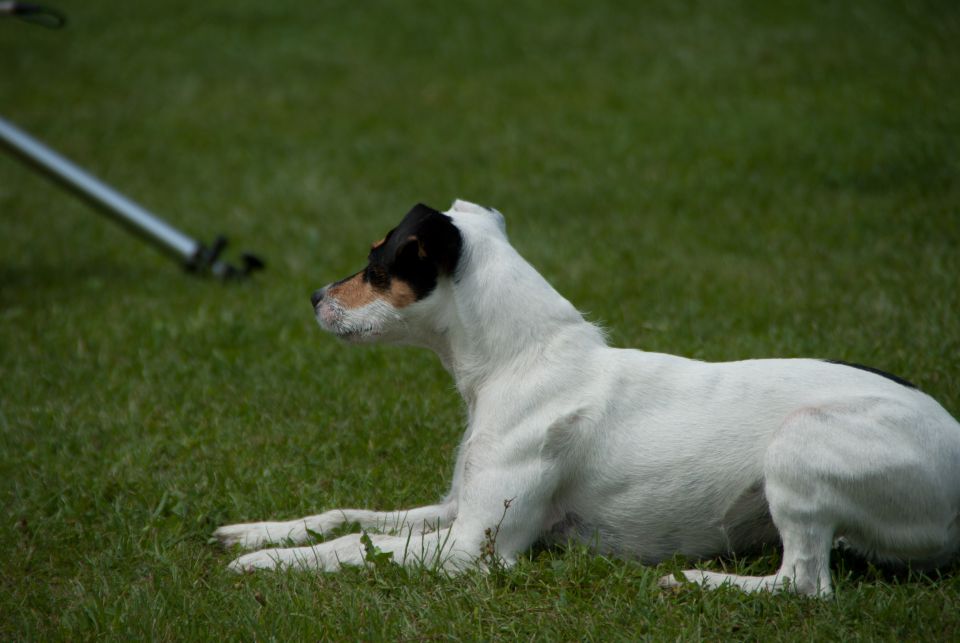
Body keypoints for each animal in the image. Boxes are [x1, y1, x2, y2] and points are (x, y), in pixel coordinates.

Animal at [216, 199, 960, 596]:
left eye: (377, 263)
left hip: (801, 444)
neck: (522, 360)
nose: (315, 296)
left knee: (804, 584)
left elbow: (356, 540)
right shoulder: (455, 507)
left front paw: (265, 563)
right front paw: (258, 531)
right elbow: (346, 514)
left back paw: (694, 580)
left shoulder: (473, 547)